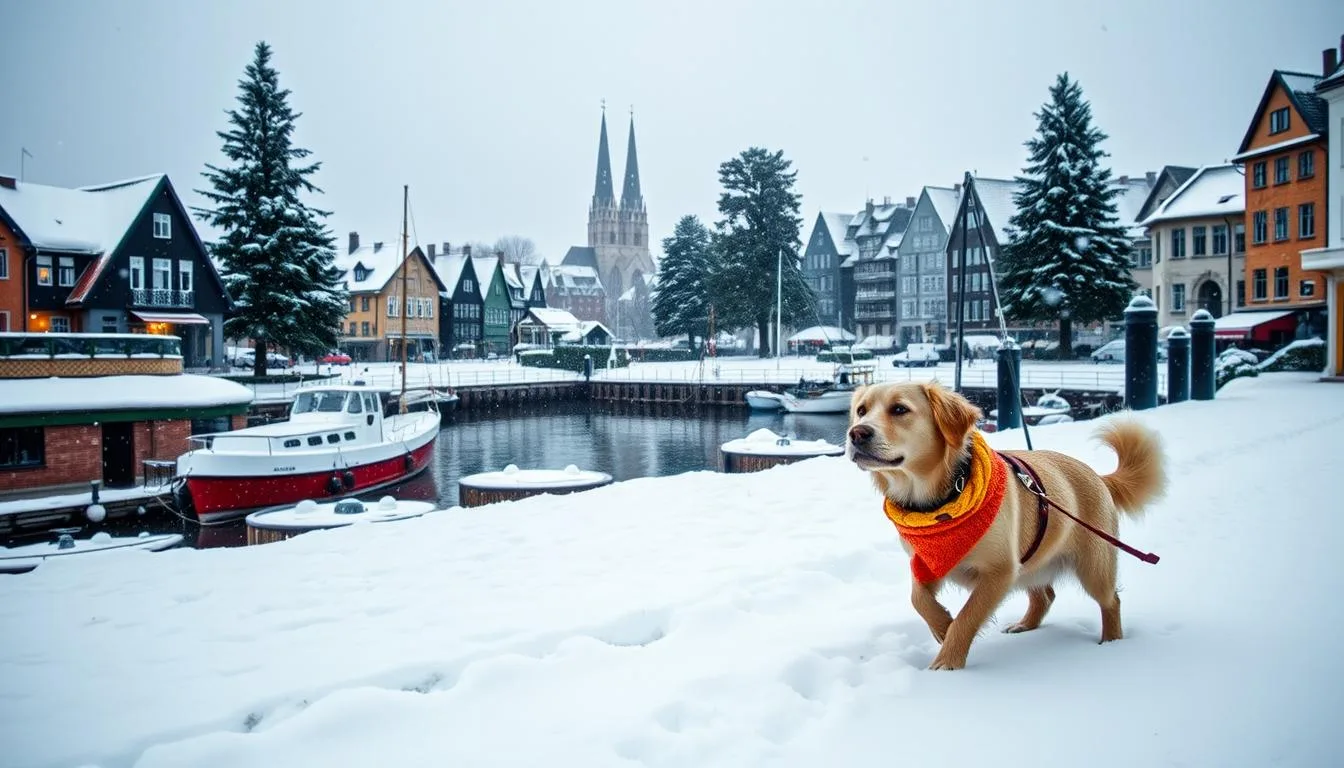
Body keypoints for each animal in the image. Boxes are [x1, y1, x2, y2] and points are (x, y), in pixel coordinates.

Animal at [849, 381, 1166, 669]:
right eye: (861, 410)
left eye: (899, 409)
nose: (856, 433)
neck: (936, 503)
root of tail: (1098, 476)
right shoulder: (927, 562)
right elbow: (918, 599)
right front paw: (941, 626)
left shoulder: (1000, 571)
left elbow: (967, 618)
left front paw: (947, 663)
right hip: (1032, 561)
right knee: (1046, 596)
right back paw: (1025, 625)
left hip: (1093, 565)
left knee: (1111, 601)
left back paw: (1111, 643)